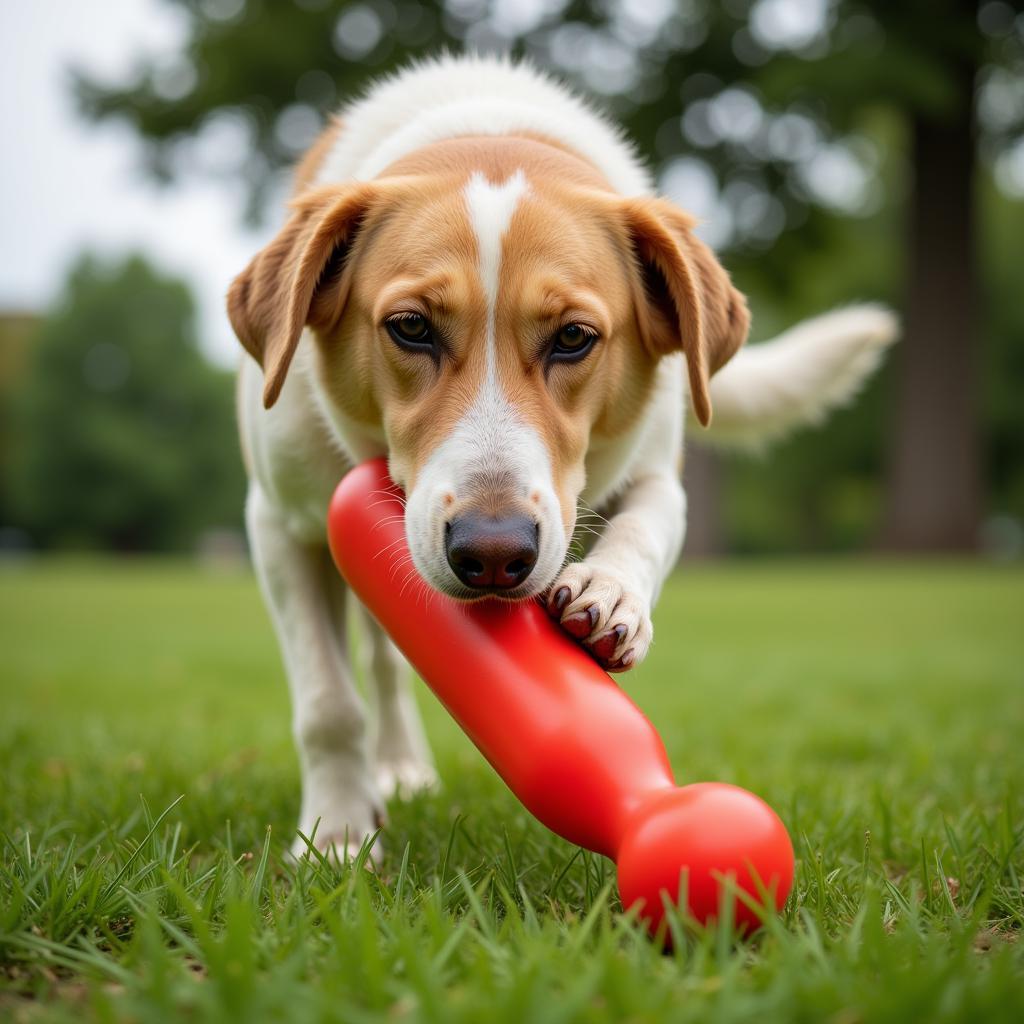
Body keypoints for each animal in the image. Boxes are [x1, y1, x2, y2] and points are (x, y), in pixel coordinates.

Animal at [226, 54, 897, 856]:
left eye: (574, 337)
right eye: (410, 326)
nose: (492, 554)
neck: (487, 126)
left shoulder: (659, 470)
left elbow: (646, 525)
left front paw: (608, 597)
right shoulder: (279, 523)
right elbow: (328, 703)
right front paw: (337, 839)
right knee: (381, 664)